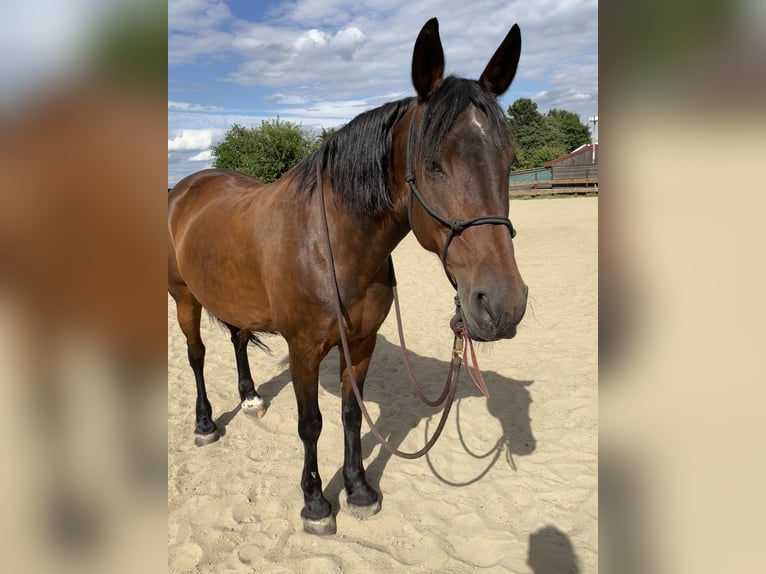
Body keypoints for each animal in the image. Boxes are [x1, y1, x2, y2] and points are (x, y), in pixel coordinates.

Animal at [168, 18, 528, 540]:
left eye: (508, 159)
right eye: (433, 163)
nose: (503, 305)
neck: (331, 246)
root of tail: (187, 186)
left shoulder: (360, 342)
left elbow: (351, 414)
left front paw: (358, 489)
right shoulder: (303, 348)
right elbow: (311, 423)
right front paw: (316, 502)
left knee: (237, 338)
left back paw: (251, 398)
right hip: (183, 298)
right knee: (196, 356)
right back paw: (205, 425)